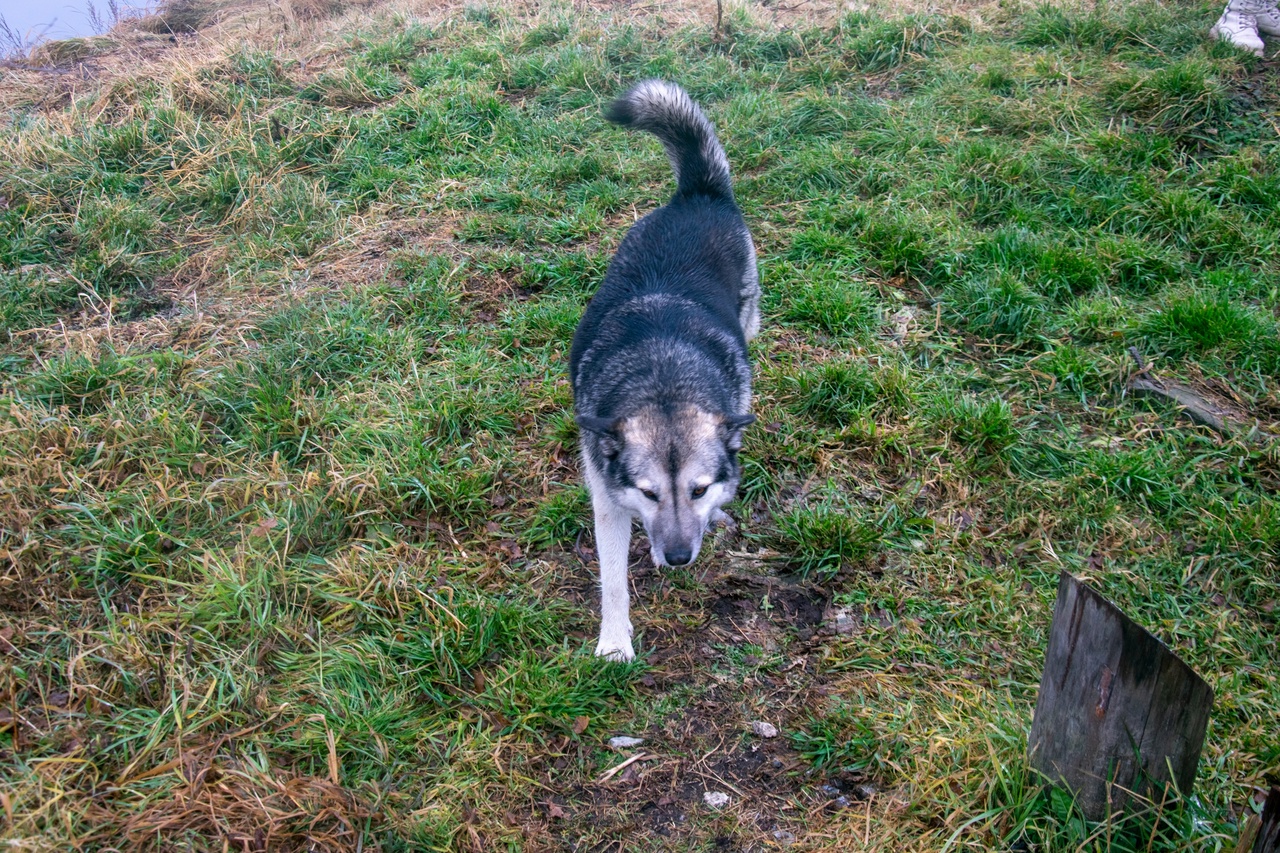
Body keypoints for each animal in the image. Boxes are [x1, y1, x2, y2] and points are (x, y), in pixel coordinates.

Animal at [570, 79, 757, 660]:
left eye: (697, 490)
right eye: (650, 493)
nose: (677, 558)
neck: (663, 379)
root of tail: (697, 194)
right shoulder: (608, 502)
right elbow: (611, 579)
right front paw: (614, 643)